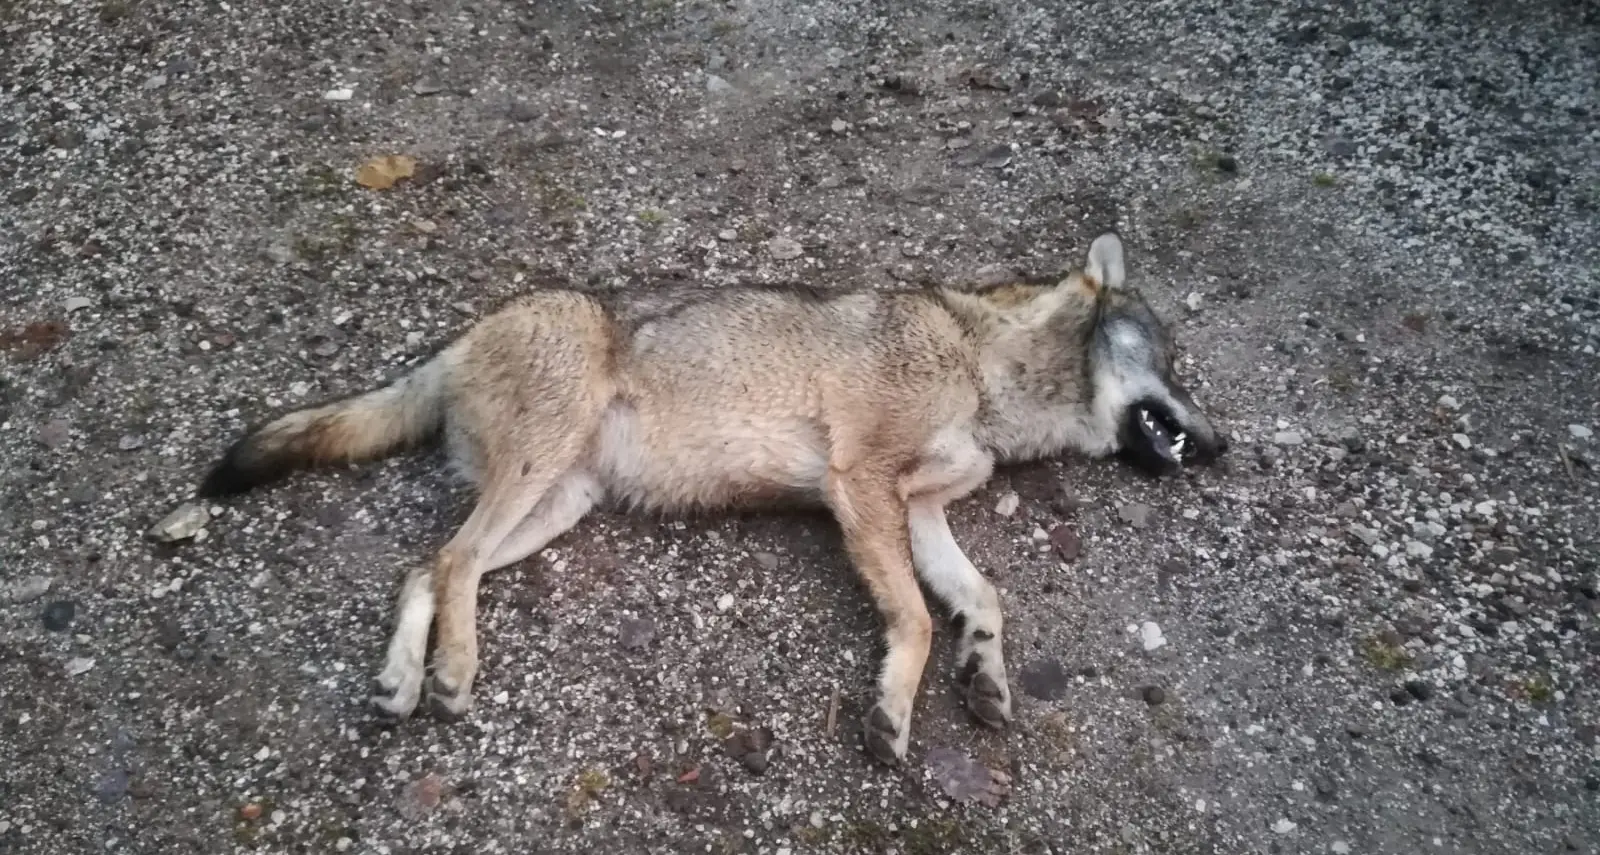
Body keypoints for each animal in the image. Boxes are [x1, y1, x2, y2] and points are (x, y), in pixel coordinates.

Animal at [196, 232, 1227, 765]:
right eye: (1174, 365)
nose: (1221, 447)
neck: (979, 363)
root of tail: (463, 337)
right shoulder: (861, 487)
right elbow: (916, 620)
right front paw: (896, 708)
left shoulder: (922, 509)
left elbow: (981, 599)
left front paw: (986, 669)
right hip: (536, 478)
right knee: (447, 562)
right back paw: (452, 669)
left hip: (555, 507)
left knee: (428, 567)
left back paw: (404, 679)